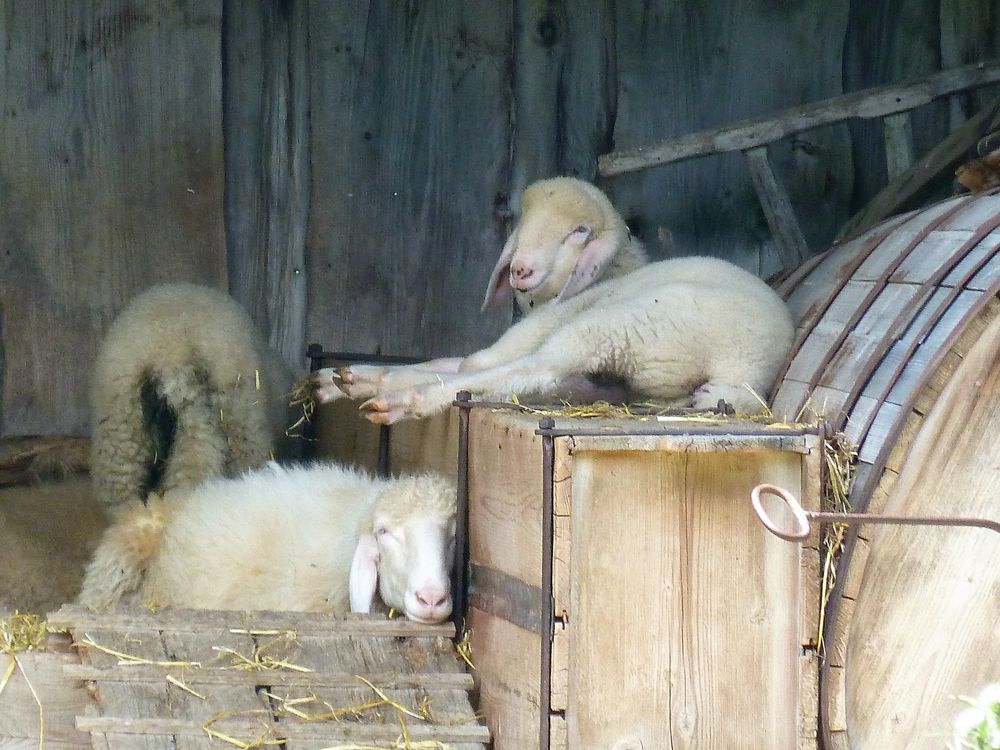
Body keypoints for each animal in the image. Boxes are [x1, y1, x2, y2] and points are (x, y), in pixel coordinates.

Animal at [312, 176, 796, 424]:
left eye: (578, 232)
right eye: (521, 223)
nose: (519, 269)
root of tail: (745, 370)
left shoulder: (544, 326)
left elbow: (471, 364)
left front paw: (375, 383)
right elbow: (450, 363)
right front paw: (346, 378)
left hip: (623, 327)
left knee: (527, 370)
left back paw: (403, 402)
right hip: (624, 378)